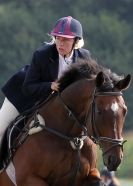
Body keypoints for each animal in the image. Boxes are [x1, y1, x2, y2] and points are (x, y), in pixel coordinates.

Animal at [0, 58, 131, 185]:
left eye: (125, 111)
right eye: (99, 111)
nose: (114, 159)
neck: (71, 137)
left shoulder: (91, 175)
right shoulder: (28, 178)